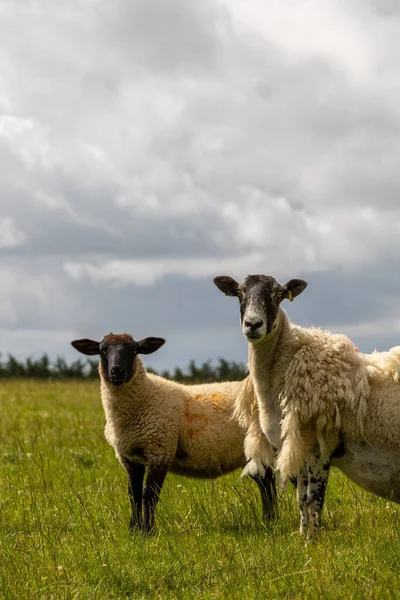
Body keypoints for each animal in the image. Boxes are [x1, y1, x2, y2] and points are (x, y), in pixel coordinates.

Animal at [71, 332, 276, 536]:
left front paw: (147, 531)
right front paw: (133, 531)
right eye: (102, 351)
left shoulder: (161, 450)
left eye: (133, 350)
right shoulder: (129, 458)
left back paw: (272, 521)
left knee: (272, 482)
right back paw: (268, 520)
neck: (144, 397)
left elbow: (149, 494)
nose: (117, 371)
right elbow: (133, 494)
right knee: (266, 482)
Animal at [214, 274, 400, 540]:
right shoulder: (298, 447)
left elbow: (314, 500)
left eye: (278, 295)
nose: (253, 324)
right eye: (240, 293)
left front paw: (313, 541)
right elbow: (301, 499)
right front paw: (303, 538)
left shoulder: (319, 448)